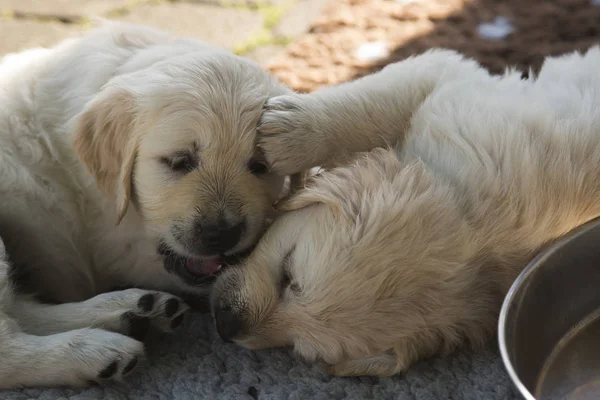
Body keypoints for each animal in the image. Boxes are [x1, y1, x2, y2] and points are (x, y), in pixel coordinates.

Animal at [0, 21, 292, 388]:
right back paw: (96, 351)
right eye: (179, 161)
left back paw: (130, 310)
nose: (222, 235)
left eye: (259, 166)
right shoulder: (110, 240)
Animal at [210, 47, 600, 376]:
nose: (226, 326)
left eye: (301, 348)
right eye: (288, 272)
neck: (481, 223)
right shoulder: (455, 85)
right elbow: (379, 103)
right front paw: (290, 131)